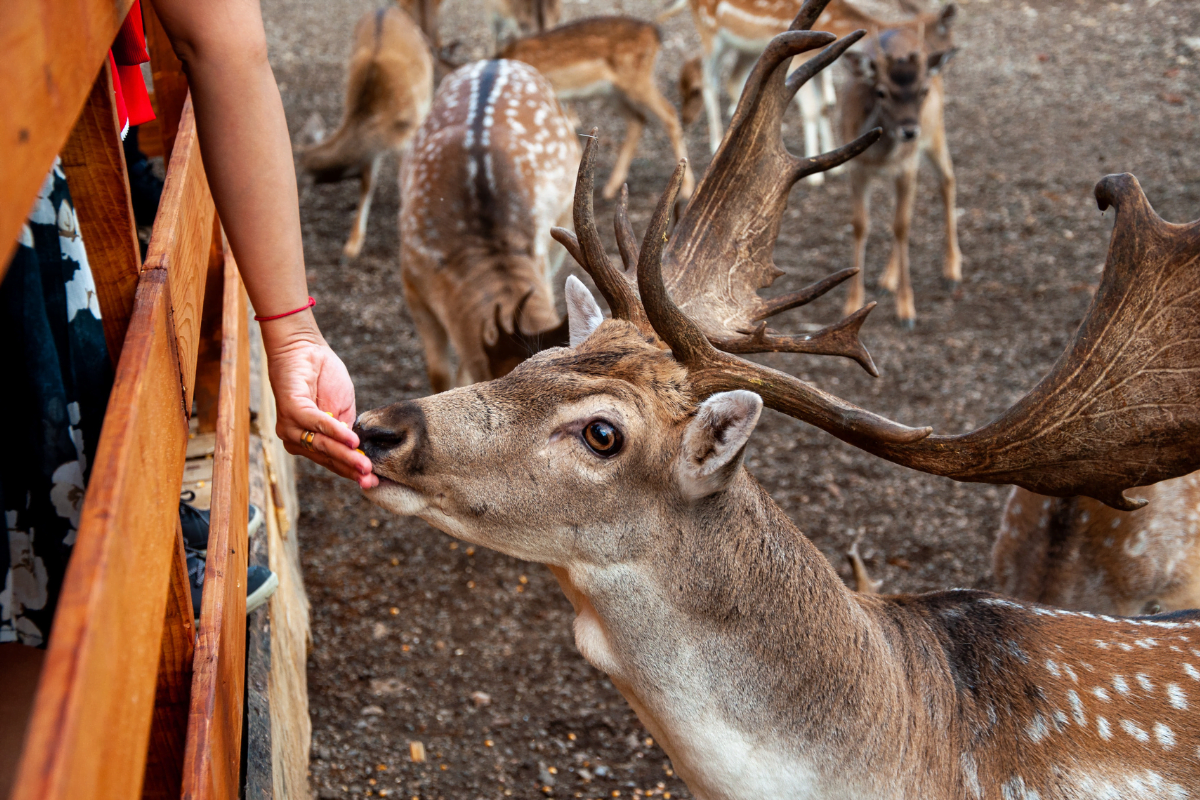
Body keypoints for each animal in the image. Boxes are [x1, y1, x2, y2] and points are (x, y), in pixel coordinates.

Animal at [298, 9, 432, 260]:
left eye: (303, 170)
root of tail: (387, 9)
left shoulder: (408, 134)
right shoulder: (374, 149)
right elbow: (367, 182)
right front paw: (353, 244)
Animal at [501, 16, 700, 203]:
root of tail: (655, 32)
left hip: (636, 81)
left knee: (668, 113)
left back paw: (687, 188)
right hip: (613, 91)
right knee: (637, 119)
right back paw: (611, 188)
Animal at [840, 25, 960, 326]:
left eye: (923, 90)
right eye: (881, 92)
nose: (909, 131)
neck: (881, 156)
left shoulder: (907, 166)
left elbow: (901, 226)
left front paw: (906, 310)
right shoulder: (856, 168)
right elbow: (861, 224)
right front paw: (852, 303)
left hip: (935, 132)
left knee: (947, 180)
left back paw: (952, 270)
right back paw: (887, 279)